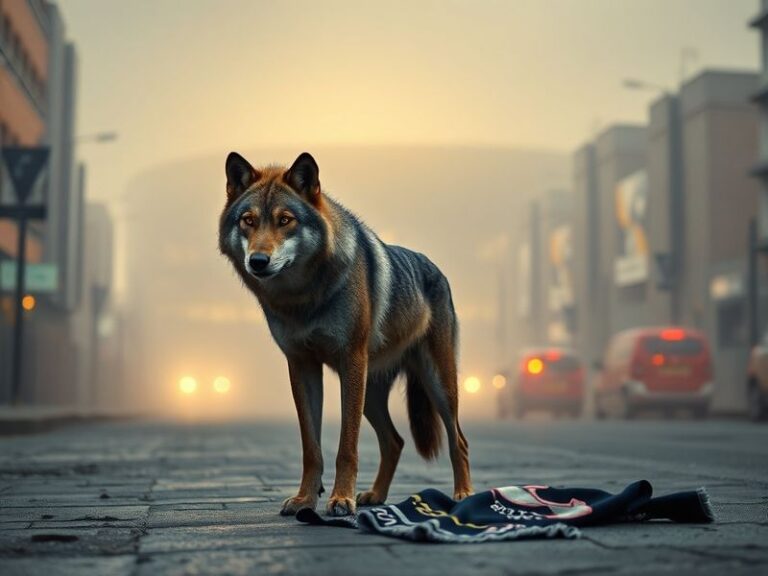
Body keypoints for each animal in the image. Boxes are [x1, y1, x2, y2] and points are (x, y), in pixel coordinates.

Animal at [218, 151, 473, 516]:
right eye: (248, 221)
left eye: (285, 220)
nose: (258, 261)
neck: (303, 298)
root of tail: (435, 268)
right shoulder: (302, 366)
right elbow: (312, 449)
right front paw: (305, 500)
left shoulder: (350, 361)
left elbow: (346, 447)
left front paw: (341, 499)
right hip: (371, 394)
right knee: (395, 442)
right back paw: (376, 495)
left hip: (435, 384)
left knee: (458, 440)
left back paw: (464, 495)